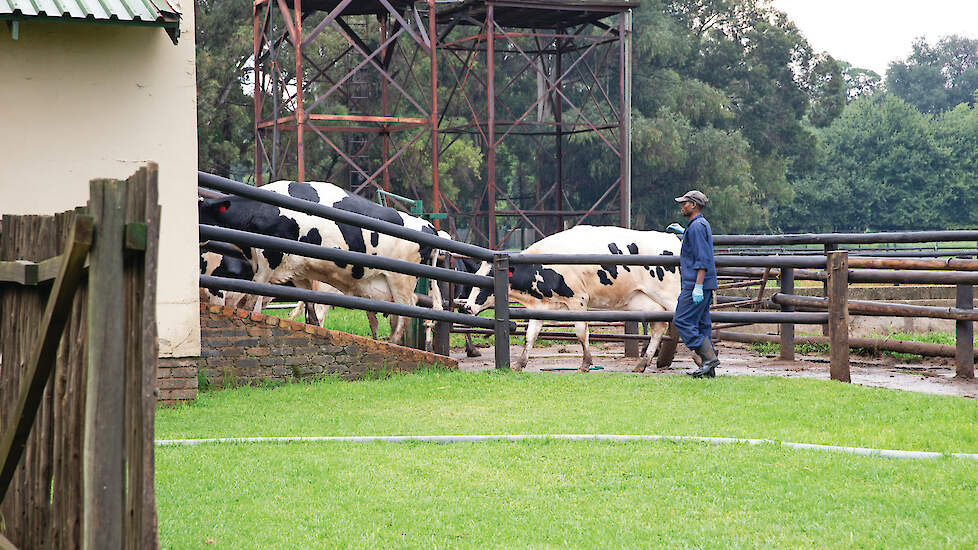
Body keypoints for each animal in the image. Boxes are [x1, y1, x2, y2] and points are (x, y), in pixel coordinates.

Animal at [198, 179, 442, 348]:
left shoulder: (268, 262)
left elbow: (253, 303)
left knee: (406, 311)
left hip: (401, 279)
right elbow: (310, 310)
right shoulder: (298, 271)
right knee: (397, 313)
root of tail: (428, 225)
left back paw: (392, 343)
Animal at [460, 225, 680, 376]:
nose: (468, 307)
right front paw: (519, 364)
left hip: (672, 297)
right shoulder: (540, 306)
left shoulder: (578, 300)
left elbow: (581, 333)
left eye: (489, 281)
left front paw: (585, 364)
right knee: (659, 327)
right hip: (643, 300)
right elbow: (530, 335)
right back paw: (642, 364)